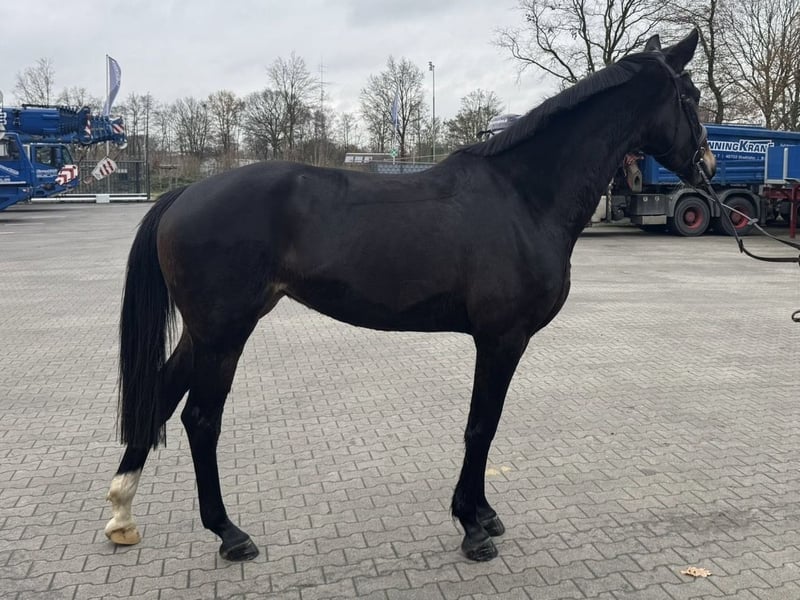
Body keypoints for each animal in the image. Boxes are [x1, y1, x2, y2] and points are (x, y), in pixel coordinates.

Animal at [104, 30, 716, 563]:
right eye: (690, 97)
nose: (707, 165)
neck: (522, 196)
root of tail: (184, 194)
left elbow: (484, 425)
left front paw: (484, 513)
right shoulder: (501, 339)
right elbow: (481, 425)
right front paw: (472, 527)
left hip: (205, 330)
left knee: (160, 396)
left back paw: (122, 514)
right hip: (224, 332)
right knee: (201, 419)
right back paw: (230, 535)